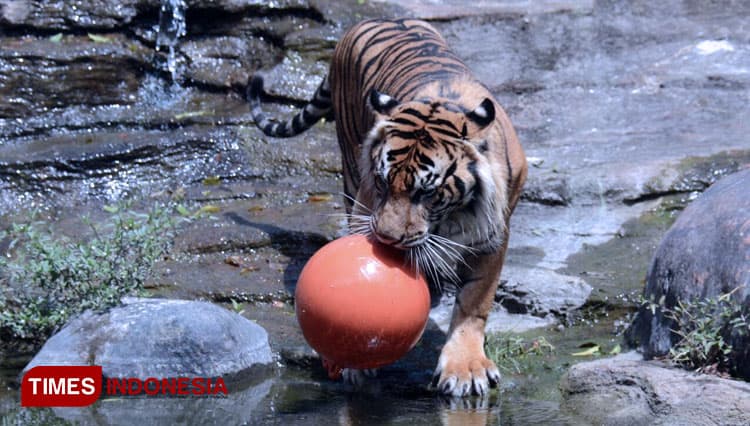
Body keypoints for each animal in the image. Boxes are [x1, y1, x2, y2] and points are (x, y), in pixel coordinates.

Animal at [247, 18, 527, 397]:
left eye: (427, 193)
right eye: (382, 182)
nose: (387, 239)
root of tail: (374, 20)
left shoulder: (492, 235)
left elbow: (474, 302)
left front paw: (465, 368)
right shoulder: (367, 200)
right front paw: (353, 365)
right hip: (350, 166)